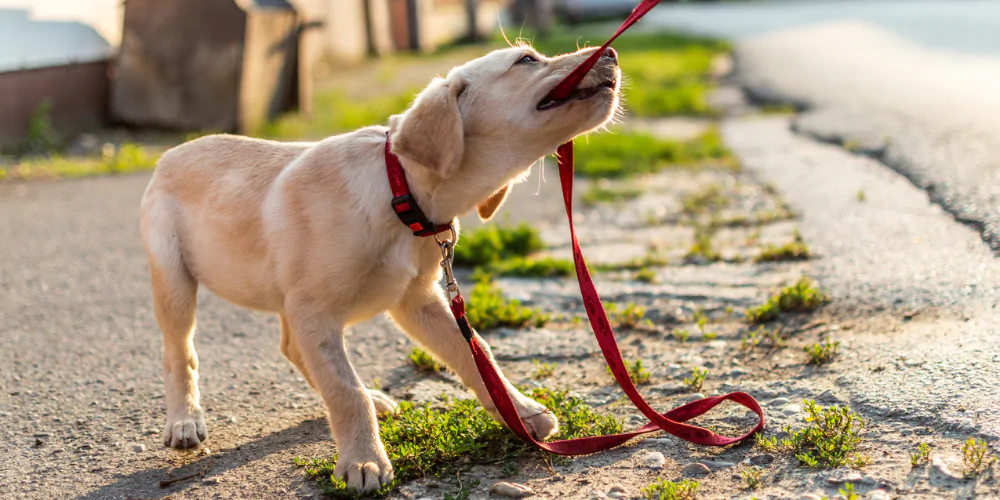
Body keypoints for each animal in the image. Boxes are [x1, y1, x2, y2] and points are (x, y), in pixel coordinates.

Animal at [139, 45, 616, 490]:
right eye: (527, 60)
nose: (610, 52)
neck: (398, 192)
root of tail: (169, 154)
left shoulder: (417, 300)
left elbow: (476, 353)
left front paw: (520, 411)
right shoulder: (315, 309)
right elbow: (344, 390)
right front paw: (363, 461)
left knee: (293, 349)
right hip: (176, 281)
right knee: (179, 352)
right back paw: (184, 421)